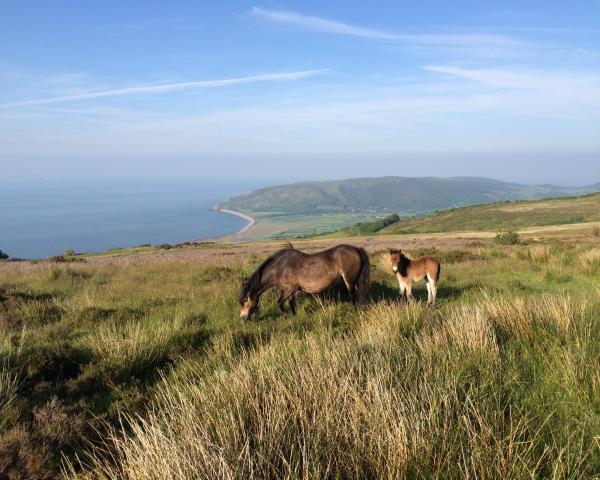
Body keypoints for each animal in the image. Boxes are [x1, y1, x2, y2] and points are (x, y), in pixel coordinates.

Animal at [239, 244, 370, 318]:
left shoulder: (289, 289)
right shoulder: (290, 291)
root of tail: (356, 249)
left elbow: (279, 303)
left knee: (353, 295)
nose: (243, 318)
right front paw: (294, 316)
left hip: (349, 280)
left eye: (245, 299)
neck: (280, 267)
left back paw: (354, 310)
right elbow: (291, 304)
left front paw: (286, 315)